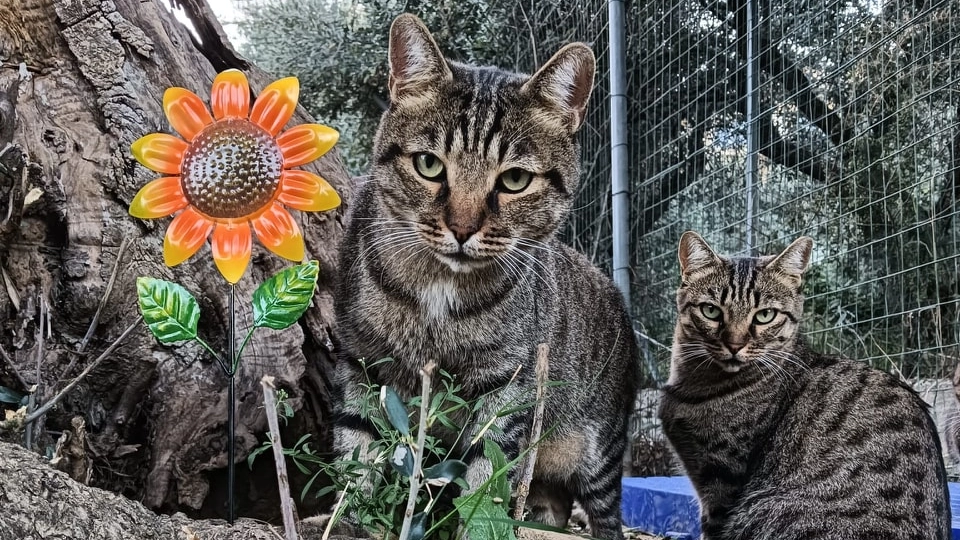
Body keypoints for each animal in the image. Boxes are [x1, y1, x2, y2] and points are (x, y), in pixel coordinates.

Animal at [330, 12, 636, 540]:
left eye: (515, 180)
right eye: (428, 165)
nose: (462, 228)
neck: (438, 288)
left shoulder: (506, 385)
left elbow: (482, 479)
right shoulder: (362, 364)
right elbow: (358, 459)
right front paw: (347, 522)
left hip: (599, 453)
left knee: (605, 514)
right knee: (550, 504)